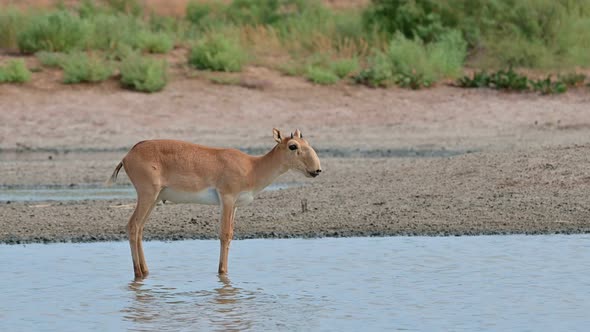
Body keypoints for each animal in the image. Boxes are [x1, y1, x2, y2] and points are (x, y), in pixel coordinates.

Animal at [106, 128, 324, 278]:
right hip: (147, 195)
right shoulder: (227, 199)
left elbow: (231, 234)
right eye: (293, 145)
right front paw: (222, 273)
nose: (317, 170)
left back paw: (145, 272)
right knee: (133, 226)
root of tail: (128, 155)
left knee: (140, 229)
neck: (252, 167)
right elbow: (224, 234)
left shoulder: (234, 205)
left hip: (154, 199)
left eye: (306, 142)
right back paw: (138, 273)